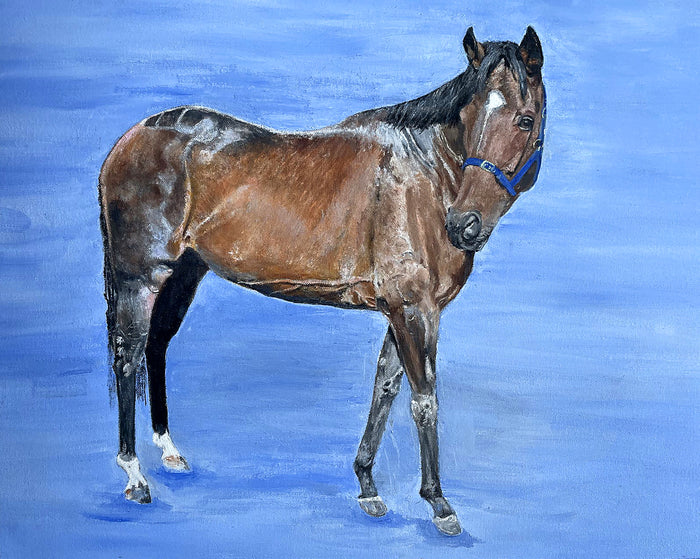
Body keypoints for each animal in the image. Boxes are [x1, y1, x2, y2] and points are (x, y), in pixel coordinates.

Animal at [99, 26, 546, 536]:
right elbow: (423, 400)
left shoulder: (402, 311)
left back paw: (169, 452)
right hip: (141, 277)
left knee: (156, 347)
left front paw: (368, 487)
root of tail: (129, 140)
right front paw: (439, 504)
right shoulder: (415, 311)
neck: (422, 177)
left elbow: (385, 389)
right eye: (469, 116)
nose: (464, 225)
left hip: (183, 273)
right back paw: (135, 476)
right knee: (128, 356)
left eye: (525, 120)